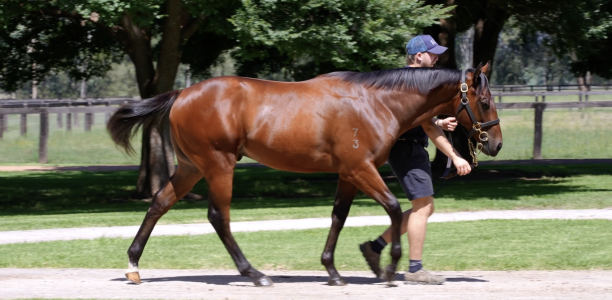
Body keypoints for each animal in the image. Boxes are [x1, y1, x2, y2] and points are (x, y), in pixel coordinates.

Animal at [107, 62, 502, 288]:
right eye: (484, 101)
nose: (495, 143)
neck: (376, 102)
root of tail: (182, 93)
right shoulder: (361, 168)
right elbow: (391, 207)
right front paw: (389, 270)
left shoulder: (348, 173)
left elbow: (338, 217)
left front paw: (333, 272)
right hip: (218, 165)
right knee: (219, 216)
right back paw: (255, 275)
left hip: (191, 167)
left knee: (159, 204)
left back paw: (133, 265)